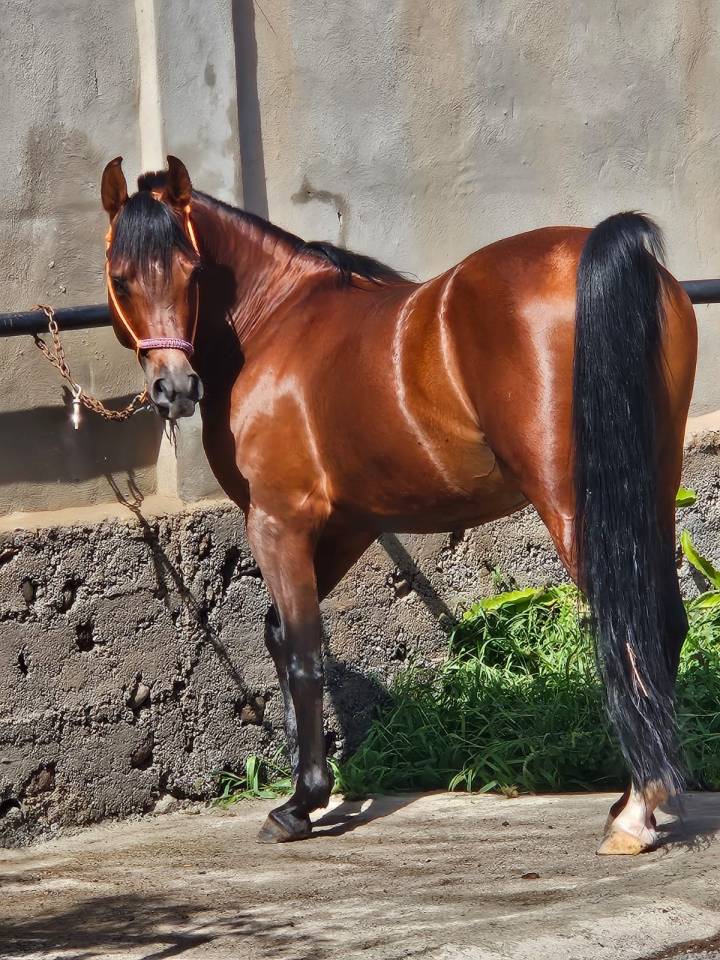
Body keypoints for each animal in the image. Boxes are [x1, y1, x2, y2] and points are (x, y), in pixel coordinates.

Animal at [100, 155, 697, 855]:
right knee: (663, 623)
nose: (175, 388)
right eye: (122, 278)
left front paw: (299, 804)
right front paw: (307, 788)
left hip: (579, 508)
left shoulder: (277, 520)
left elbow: (302, 651)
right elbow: (280, 637)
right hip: (651, 492)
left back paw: (636, 814)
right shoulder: (349, 525)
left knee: (627, 627)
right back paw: (636, 799)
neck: (274, 321)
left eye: (192, 270)